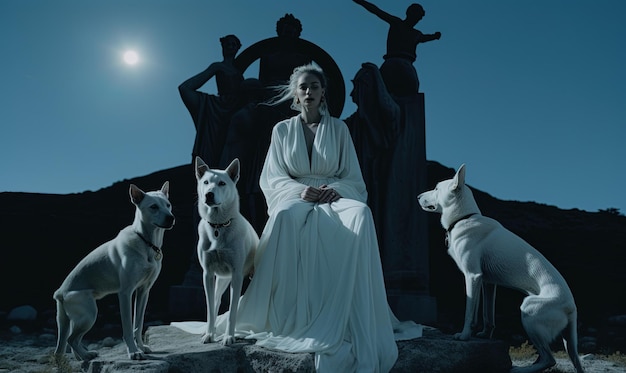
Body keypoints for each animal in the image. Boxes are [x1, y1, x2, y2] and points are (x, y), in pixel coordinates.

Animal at [53, 182, 173, 358]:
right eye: (153, 207)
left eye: (168, 205)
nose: (171, 218)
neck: (146, 242)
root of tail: (60, 293)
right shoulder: (125, 293)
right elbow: (128, 328)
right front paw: (133, 352)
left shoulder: (143, 292)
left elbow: (138, 325)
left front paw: (141, 347)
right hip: (89, 314)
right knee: (71, 339)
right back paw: (86, 356)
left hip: (79, 318)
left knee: (71, 340)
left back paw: (84, 356)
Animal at [193, 155, 256, 344]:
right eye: (206, 182)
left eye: (222, 183)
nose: (209, 194)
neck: (218, 226)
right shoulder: (207, 274)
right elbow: (210, 309)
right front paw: (209, 334)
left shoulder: (236, 275)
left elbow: (233, 310)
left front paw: (229, 337)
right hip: (221, 279)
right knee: (216, 301)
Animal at [416, 166, 584, 372]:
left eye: (437, 188)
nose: (418, 196)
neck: (464, 218)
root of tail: (571, 307)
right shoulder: (487, 283)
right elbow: (487, 315)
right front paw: (483, 334)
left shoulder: (472, 276)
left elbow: (469, 313)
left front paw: (464, 336)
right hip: (566, 340)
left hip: (529, 312)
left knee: (549, 359)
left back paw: (521, 369)